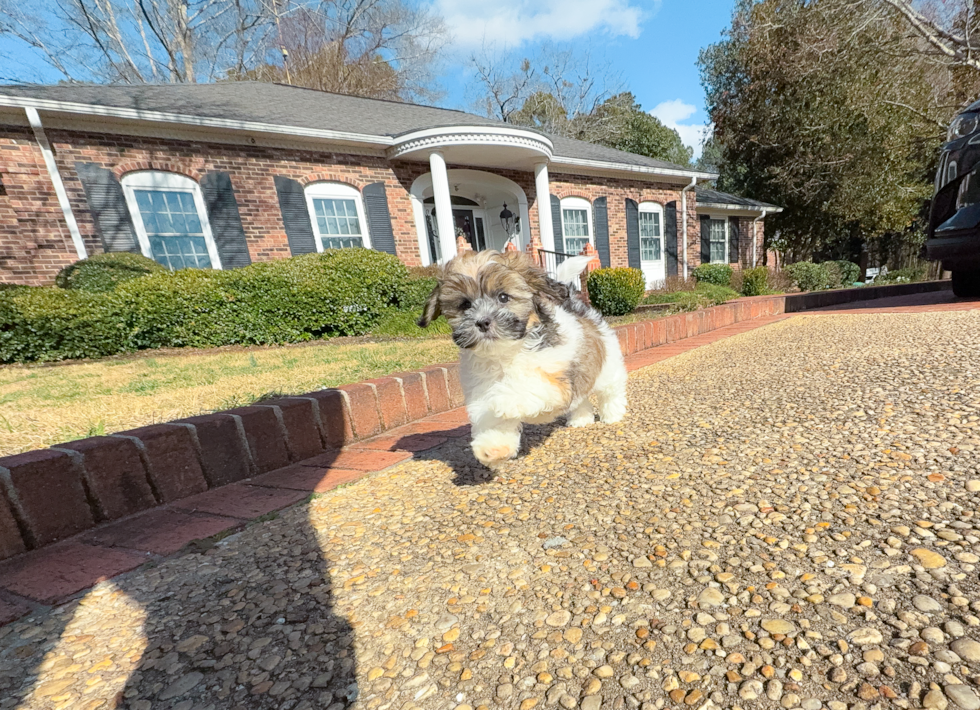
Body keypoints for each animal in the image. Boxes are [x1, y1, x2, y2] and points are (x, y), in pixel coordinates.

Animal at [416, 250, 628, 468]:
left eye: (503, 297)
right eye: (464, 304)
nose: (482, 322)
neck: (506, 353)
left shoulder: (555, 380)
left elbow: (524, 388)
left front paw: (502, 400)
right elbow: (492, 419)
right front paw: (493, 447)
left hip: (608, 367)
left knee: (611, 391)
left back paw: (612, 415)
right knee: (580, 398)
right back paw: (581, 419)